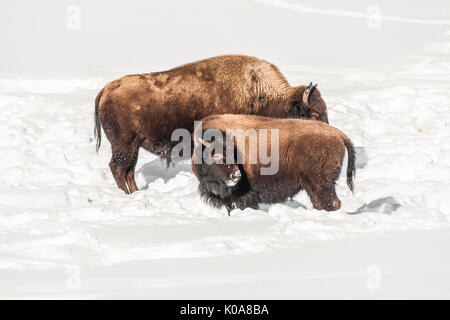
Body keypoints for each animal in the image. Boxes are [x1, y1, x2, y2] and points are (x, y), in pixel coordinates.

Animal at [95, 54, 328, 194]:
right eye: (314, 114)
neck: (258, 92)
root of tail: (106, 89)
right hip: (124, 144)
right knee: (118, 167)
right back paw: (127, 194)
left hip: (133, 145)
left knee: (129, 170)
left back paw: (135, 192)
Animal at [192, 114, 356, 214]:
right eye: (216, 155)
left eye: (234, 154)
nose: (236, 176)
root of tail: (338, 134)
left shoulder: (242, 195)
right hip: (314, 186)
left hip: (320, 184)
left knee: (330, 203)